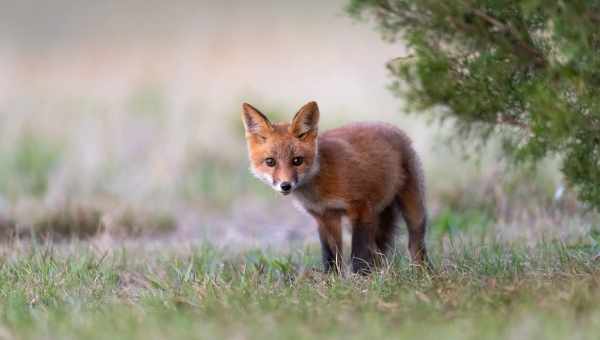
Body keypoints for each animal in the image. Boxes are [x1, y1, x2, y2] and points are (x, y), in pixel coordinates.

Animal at [241, 101, 428, 274]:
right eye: (270, 162)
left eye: (297, 160)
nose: (285, 185)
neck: (319, 186)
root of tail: (390, 126)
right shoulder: (325, 217)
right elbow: (331, 256)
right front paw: (333, 278)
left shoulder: (361, 209)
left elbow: (358, 254)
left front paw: (360, 278)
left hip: (412, 209)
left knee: (415, 243)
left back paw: (422, 271)